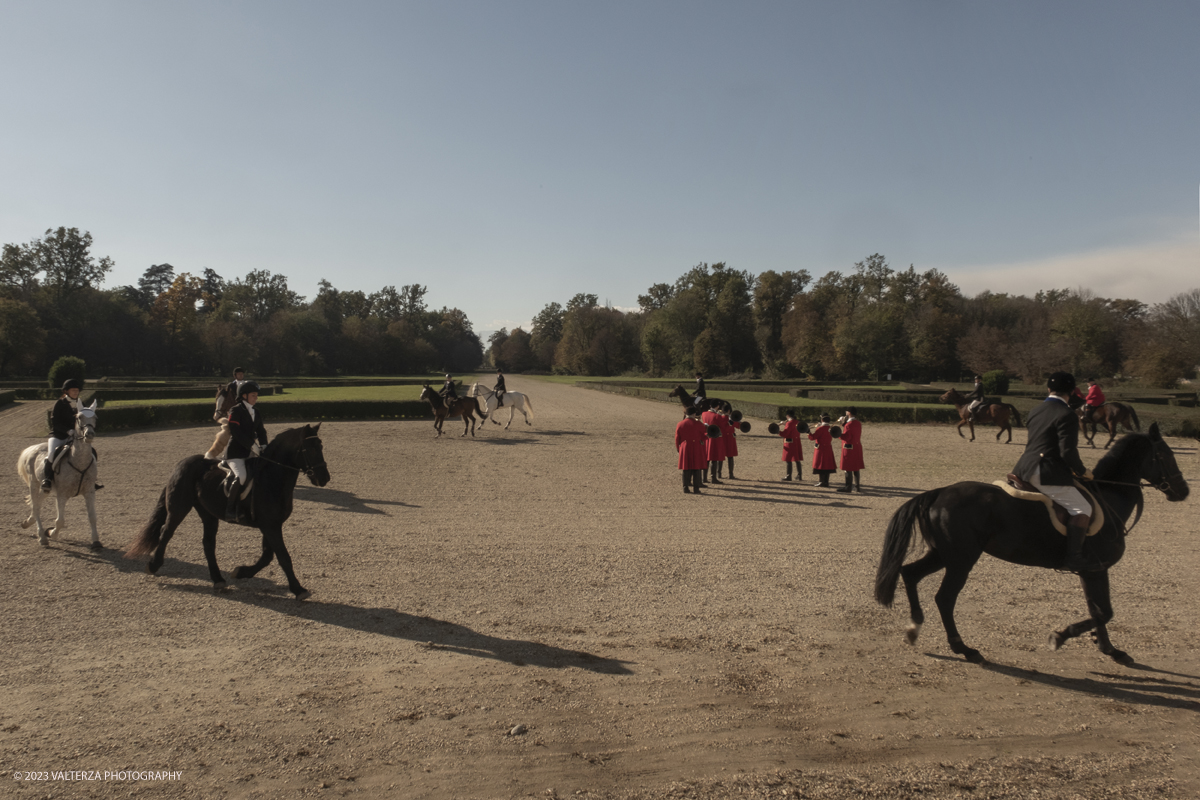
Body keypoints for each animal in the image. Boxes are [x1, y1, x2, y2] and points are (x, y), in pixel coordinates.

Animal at [17, 400, 102, 551]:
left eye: (95, 418)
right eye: (79, 417)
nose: (90, 434)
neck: (79, 461)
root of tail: (32, 449)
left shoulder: (89, 492)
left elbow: (92, 517)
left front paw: (96, 541)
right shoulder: (62, 495)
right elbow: (60, 521)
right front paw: (51, 533)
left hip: (45, 489)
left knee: (37, 504)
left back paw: (28, 522)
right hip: (34, 484)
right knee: (36, 507)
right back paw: (42, 537)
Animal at [126, 424, 331, 599]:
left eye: (321, 446)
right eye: (310, 449)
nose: (324, 478)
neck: (272, 477)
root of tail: (182, 463)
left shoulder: (272, 524)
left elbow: (268, 555)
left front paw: (241, 572)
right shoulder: (270, 526)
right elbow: (283, 557)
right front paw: (298, 589)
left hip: (208, 514)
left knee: (208, 543)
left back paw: (218, 579)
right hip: (179, 508)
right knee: (166, 533)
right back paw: (153, 566)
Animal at [873, 424, 1190, 671]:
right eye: (1166, 455)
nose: (1183, 491)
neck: (1108, 497)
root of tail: (939, 492)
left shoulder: (1092, 571)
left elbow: (1098, 609)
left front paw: (1111, 650)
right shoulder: (1096, 569)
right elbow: (1103, 612)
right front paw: (1061, 637)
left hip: (943, 554)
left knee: (910, 574)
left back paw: (914, 628)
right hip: (962, 560)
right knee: (944, 598)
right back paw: (965, 649)